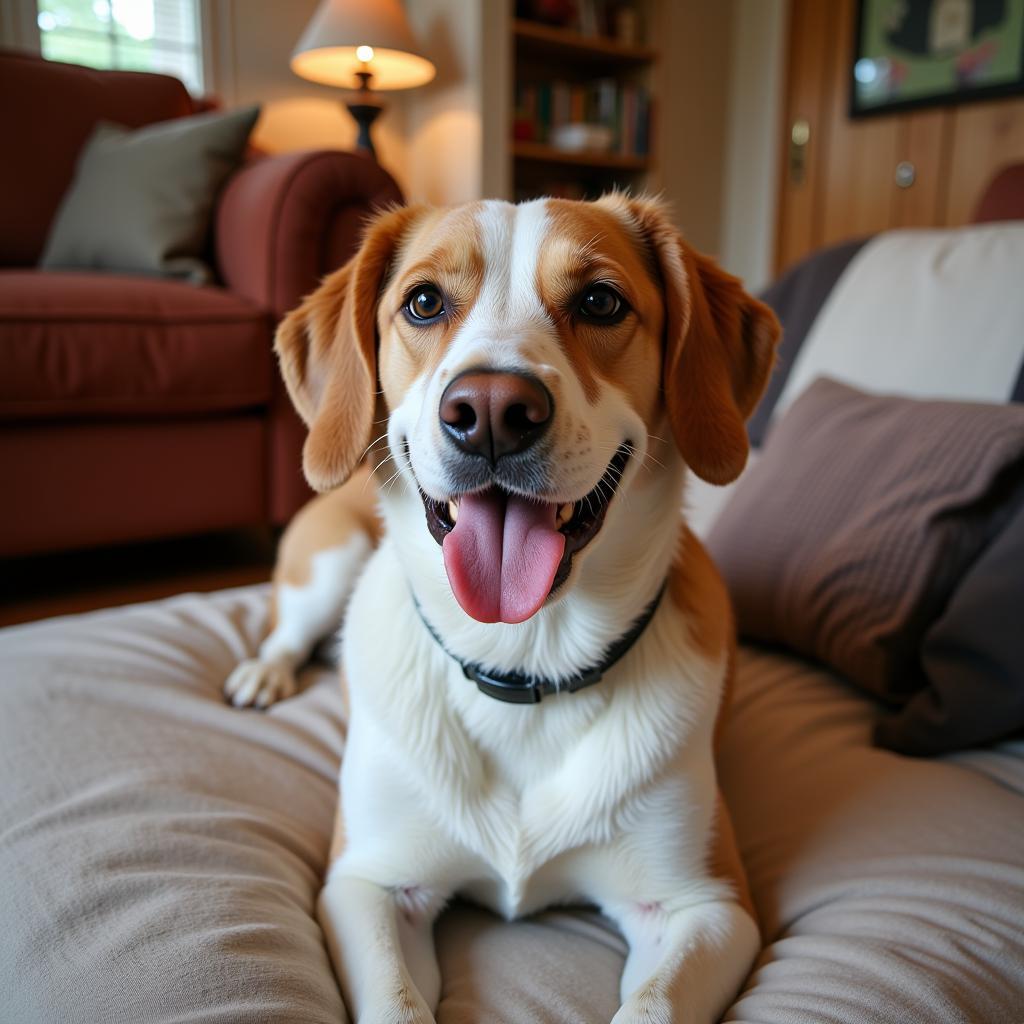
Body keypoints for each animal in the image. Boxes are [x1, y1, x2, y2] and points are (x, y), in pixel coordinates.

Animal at [226, 193, 774, 1024]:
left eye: (600, 301)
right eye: (423, 302)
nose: (489, 410)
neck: (523, 663)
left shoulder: (707, 907)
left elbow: (653, 1008)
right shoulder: (367, 883)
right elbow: (396, 1005)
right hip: (327, 565)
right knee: (288, 629)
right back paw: (266, 672)